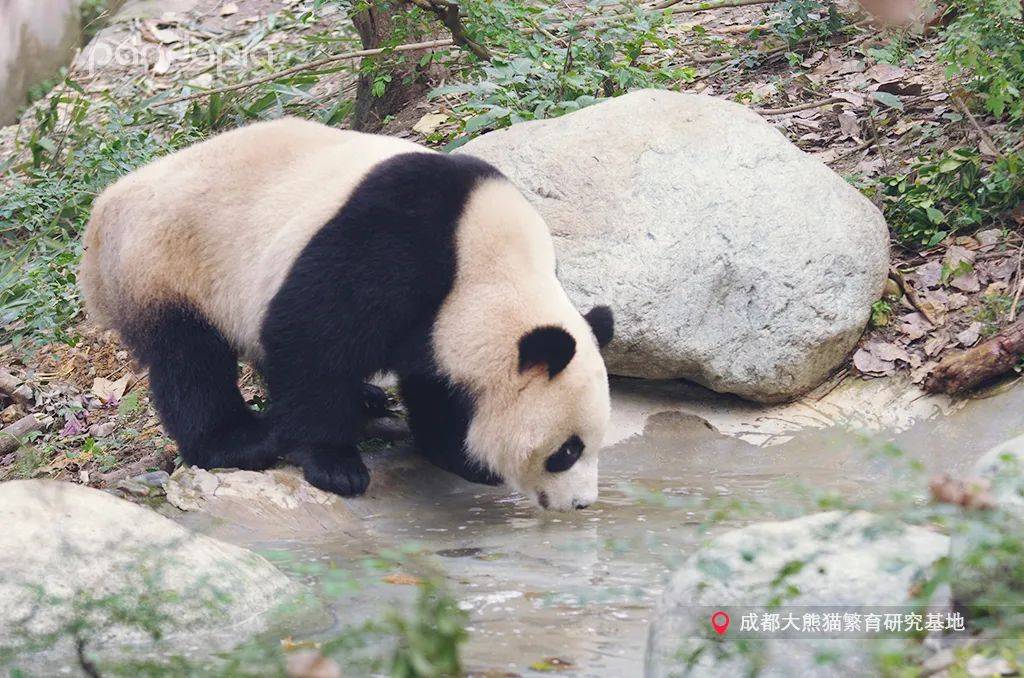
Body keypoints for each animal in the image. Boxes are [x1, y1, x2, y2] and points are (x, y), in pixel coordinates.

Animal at [79, 116, 610, 512]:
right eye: (567, 450)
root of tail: (103, 212)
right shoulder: (391, 242)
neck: (487, 261)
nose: (581, 503)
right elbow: (312, 340)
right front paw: (335, 466)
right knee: (190, 361)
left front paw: (459, 455)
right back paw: (240, 441)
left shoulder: (442, 312)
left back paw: (367, 399)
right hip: (167, 264)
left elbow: (433, 377)